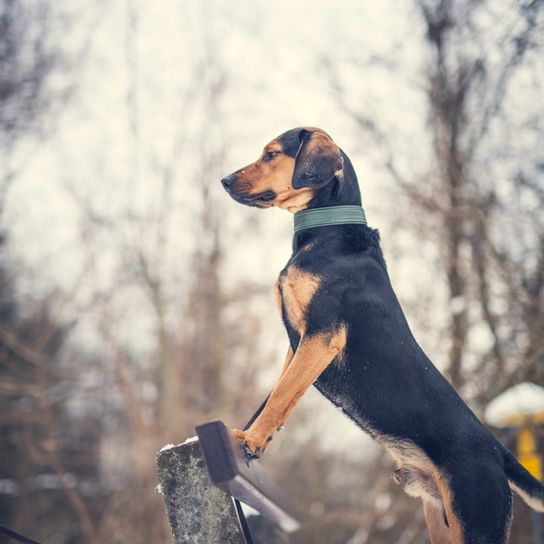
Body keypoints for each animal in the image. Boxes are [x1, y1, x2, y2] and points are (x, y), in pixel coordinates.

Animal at [220, 129, 544, 544]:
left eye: (272, 154)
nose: (225, 180)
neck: (328, 233)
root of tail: (498, 452)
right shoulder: (297, 344)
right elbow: (280, 394)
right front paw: (252, 437)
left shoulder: (321, 335)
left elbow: (279, 397)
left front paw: (250, 440)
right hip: (441, 522)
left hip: (476, 522)